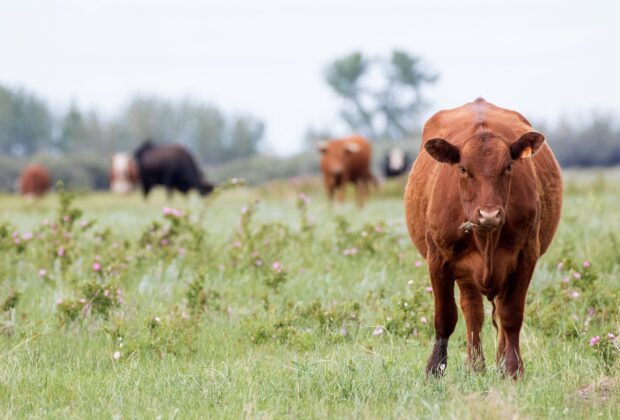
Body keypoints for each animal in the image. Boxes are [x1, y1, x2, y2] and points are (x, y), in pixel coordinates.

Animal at [404, 98, 564, 378]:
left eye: (508, 167)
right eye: (463, 169)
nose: (489, 214)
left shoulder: (526, 256)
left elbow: (511, 315)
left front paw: (512, 368)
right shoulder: (438, 260)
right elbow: (445, 317)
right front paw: (435, 368)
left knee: (495, 310)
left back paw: (496, 362)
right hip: (465, 273)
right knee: (472, 311)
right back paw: (475, 365)